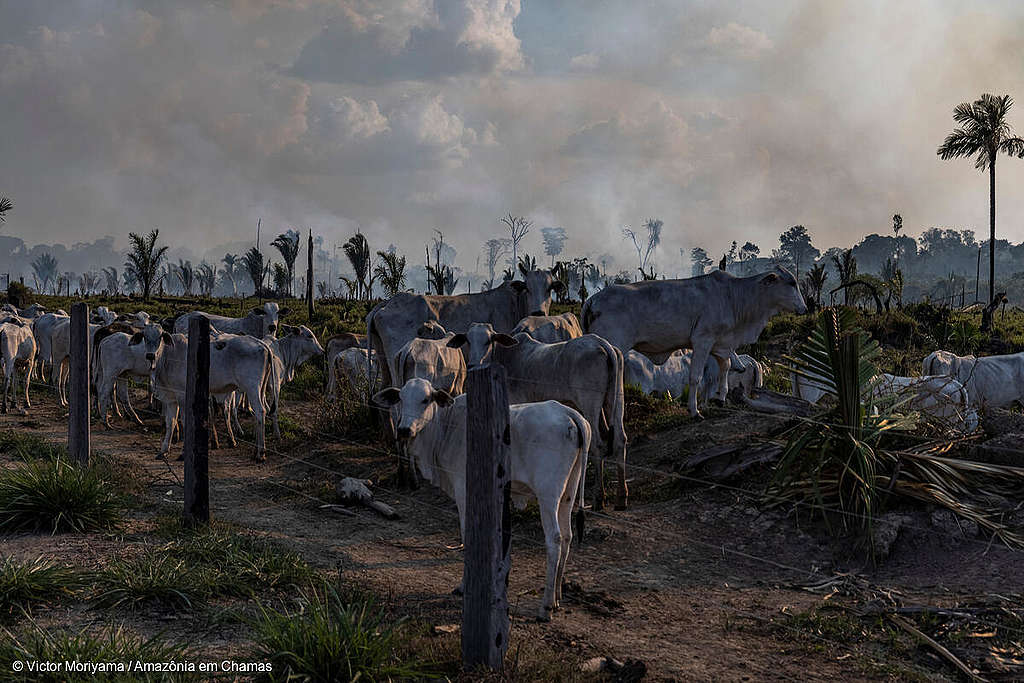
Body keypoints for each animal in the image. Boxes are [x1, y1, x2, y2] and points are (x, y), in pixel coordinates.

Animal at [376, 378, 589, 626]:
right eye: (401, 398)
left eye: (425, 399)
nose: (403, 430)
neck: (447, 426)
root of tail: (568, 413)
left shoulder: (464, 488)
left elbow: (467, 534)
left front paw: (464, 586)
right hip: (568, 493)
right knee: (567, 536)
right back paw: (556, 597)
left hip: (548, 494)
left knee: (554, 540)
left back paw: (545, 607)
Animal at [585, 266, 806, 417]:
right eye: (792, 283)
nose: (804, 308)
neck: (734, 296)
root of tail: (593, 299)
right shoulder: (703, 341)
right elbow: (695, 377)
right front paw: (694, 411)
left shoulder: (721, 344)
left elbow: (725, 367)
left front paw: (721, 398)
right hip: (612, 347)